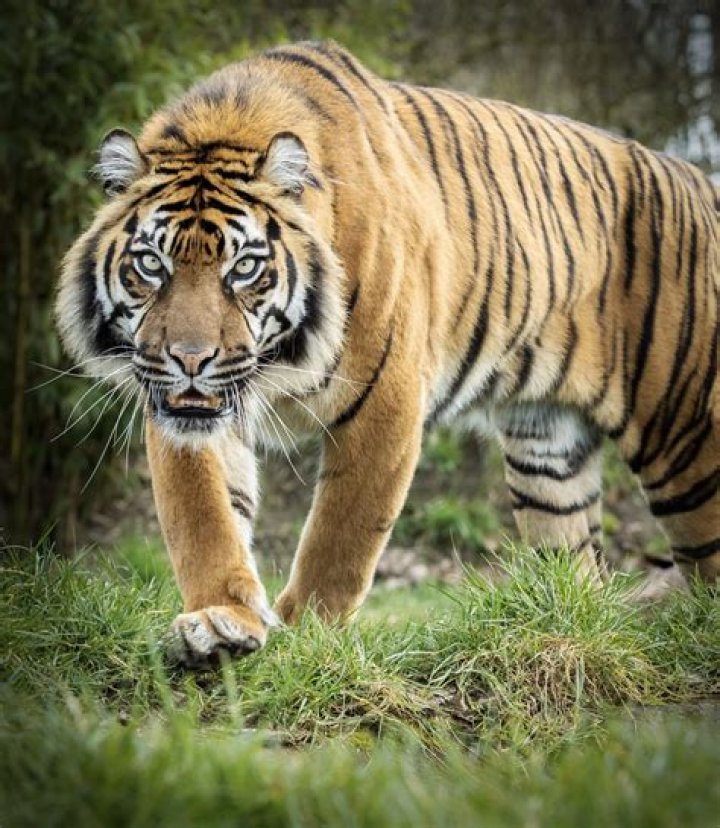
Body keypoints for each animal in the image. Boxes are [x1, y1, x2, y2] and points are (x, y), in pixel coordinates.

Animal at [57, 40, 719, 666]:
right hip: (549, 459)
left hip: (687, 440)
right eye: (152, 264)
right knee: (581, 566)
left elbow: (340, 535)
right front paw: (220, 622)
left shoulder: (386, 401)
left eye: (243, 268)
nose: (189, 359)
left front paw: (308, 639)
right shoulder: (188, 409)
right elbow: (203, 516)